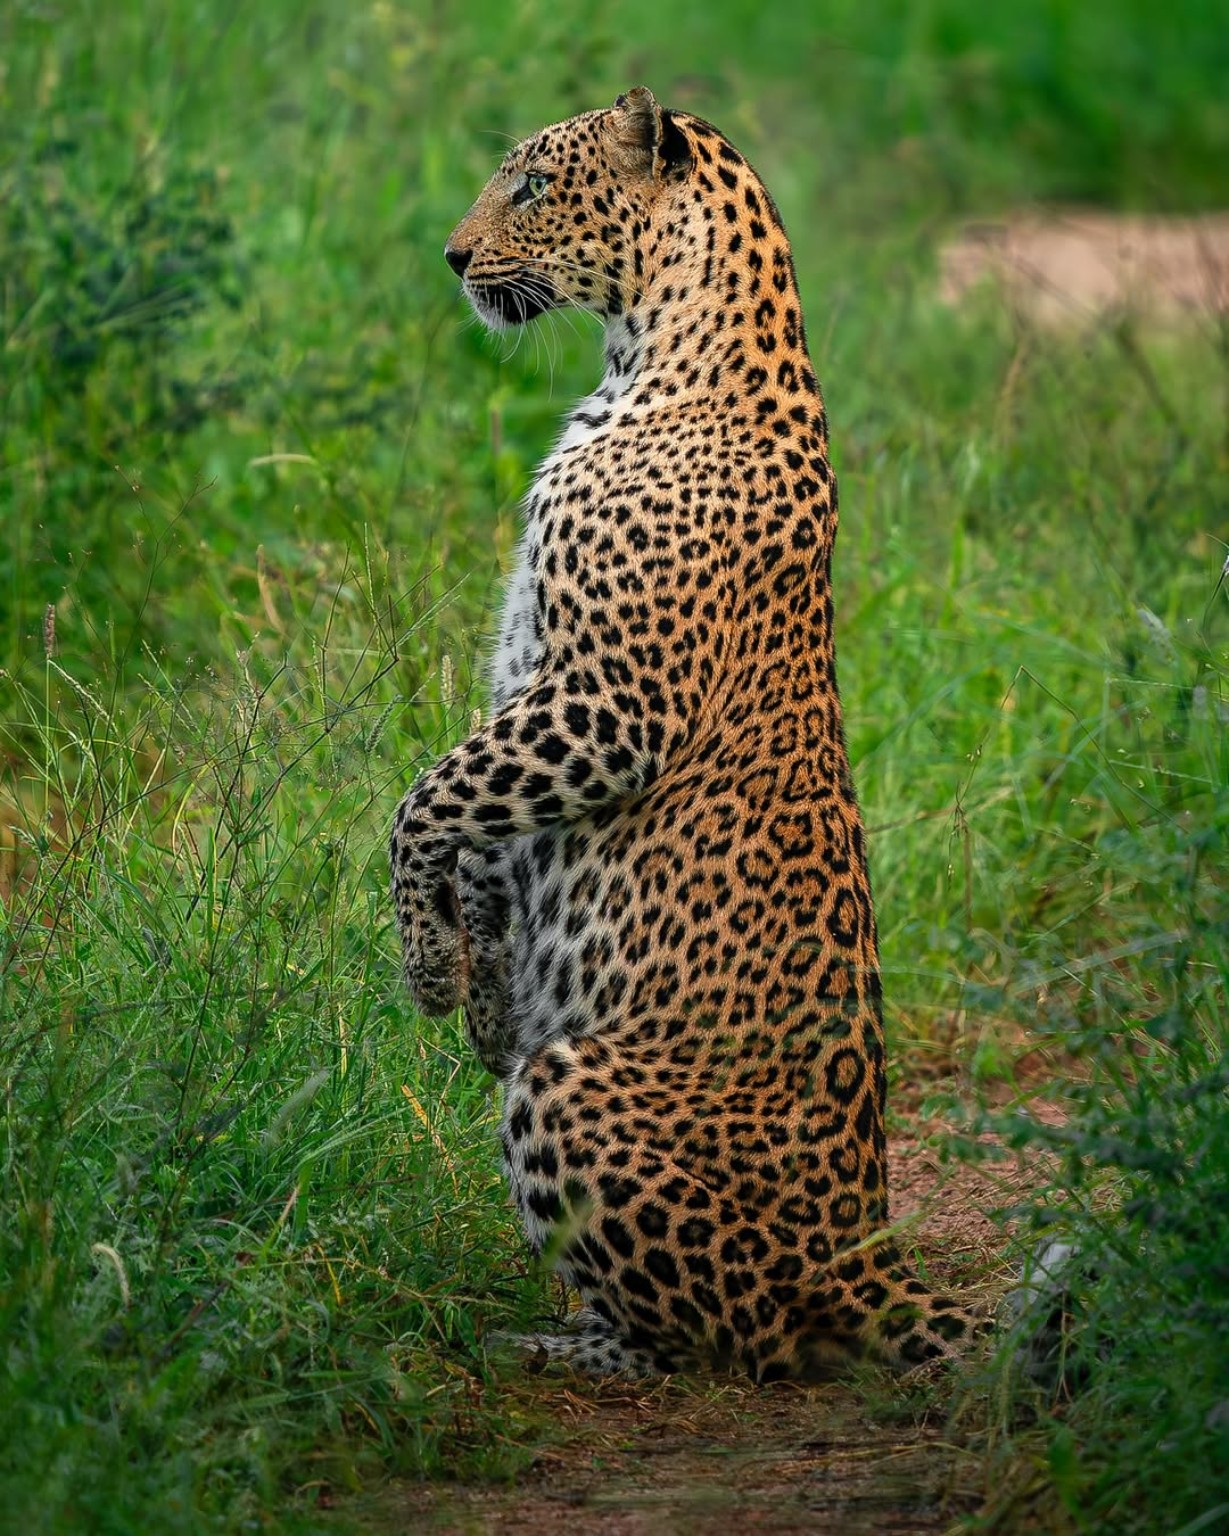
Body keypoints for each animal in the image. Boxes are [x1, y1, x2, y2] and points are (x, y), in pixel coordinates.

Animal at [390, 86, 976, 1381]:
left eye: (529, 185)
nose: (450, 257)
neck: (646, 356)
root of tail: (864, 1246)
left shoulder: (612, 704)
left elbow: (424, 798)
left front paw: (425, 967)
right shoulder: (525, 672)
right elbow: (474, 825)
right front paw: (481, 990)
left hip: (573, 1096)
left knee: (735, 1336)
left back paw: (564, 1346)